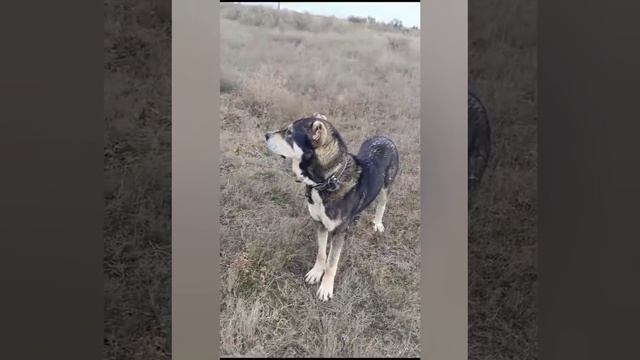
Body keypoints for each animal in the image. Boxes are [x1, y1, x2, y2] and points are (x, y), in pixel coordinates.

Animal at [262, 114, 398, 300]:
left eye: (289, 133)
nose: (266, 135)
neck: (327, 181)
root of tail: (385, 138)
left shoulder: (338, 232)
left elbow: (332, 263)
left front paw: (326, 287)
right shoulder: (319, 223)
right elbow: (321, 253)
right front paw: (316, 272)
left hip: (386, 186)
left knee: (382, 205)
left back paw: (377, 223)